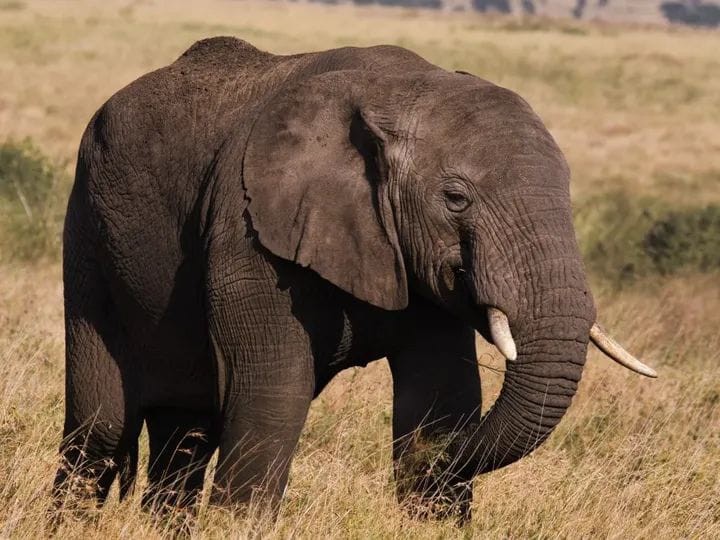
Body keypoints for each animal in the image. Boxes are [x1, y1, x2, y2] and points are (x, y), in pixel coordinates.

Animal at [54, 36, 655, 520]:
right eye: (455, 198)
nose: (447, 458)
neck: (401, 93)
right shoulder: (246, 228)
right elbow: (272, 398)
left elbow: (441, 398)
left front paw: (431, 470)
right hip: (88, 238)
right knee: (101, 430)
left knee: (184, 435)